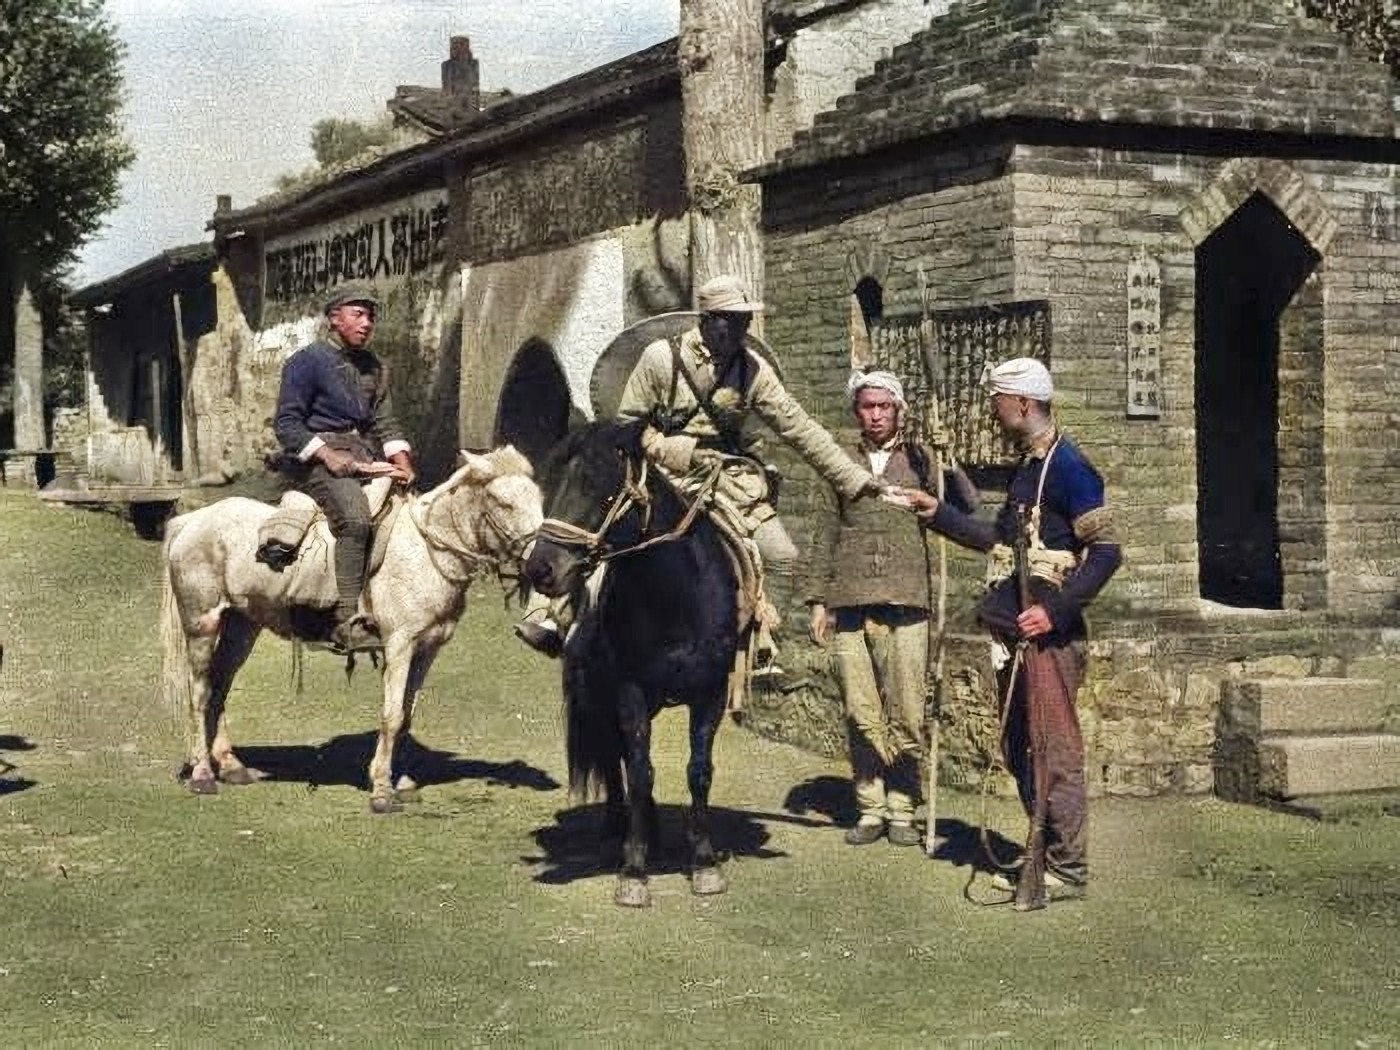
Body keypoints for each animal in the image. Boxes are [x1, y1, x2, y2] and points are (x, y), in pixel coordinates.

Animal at [158, 445, 540, 812]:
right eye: (504, 503)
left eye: (537, 498)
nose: (539, 560)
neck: (425, 551)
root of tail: (193, 520)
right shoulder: (399, 646)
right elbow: (391, 715)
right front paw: (382, 790)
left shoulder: (426, 649)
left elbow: (406, 715)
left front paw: (402, 782)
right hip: (201, 623)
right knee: (200, 692)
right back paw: (203, 774)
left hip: (242, 625)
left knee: (220, 686)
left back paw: (231, 766)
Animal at [526, 420, 744, 912]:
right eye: (549, 485)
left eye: (600, 489)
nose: (540, 570)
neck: (677, 599)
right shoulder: (629, 690)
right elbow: (641, 772)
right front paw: (634, 870)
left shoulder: (711, 692)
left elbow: (698, 771)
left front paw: (704, 864)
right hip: (600, 691)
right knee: (615, 756)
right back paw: (617, 828)